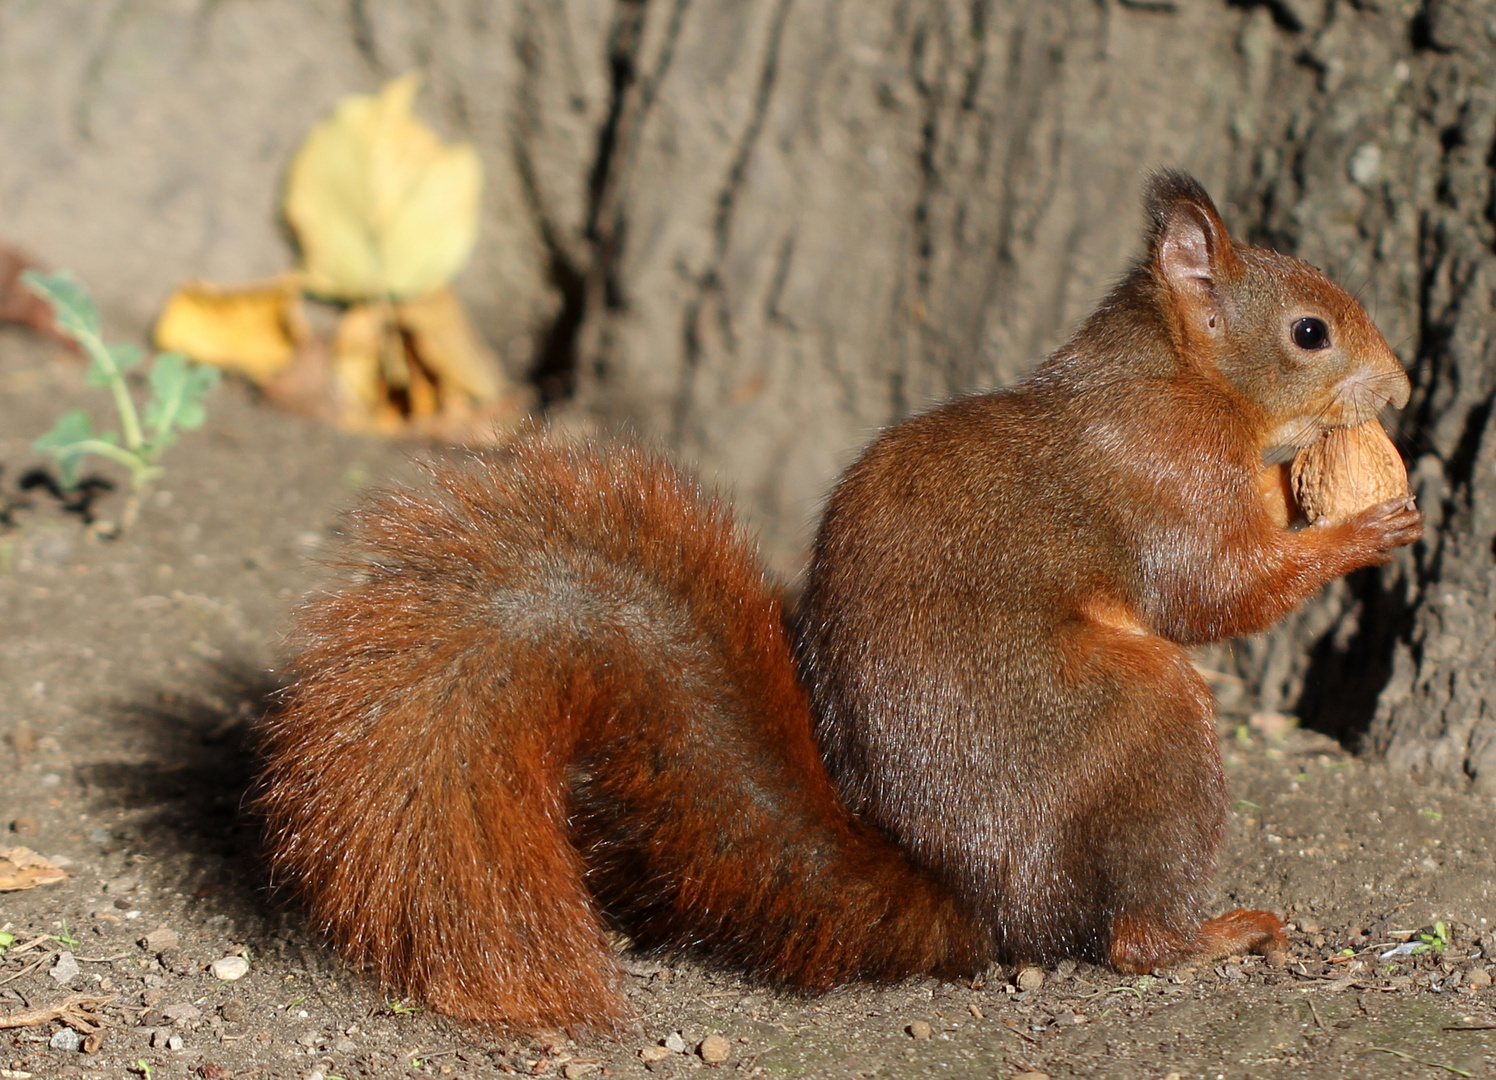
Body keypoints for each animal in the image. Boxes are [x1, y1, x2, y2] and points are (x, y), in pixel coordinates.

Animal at [260, 170, 1424, 1029]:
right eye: (1310, 333)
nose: (1405, 389)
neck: (1181, 380)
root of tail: (978, 899)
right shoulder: (1166, 481)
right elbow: (1215, 593)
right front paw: (1365, 527)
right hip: (1143, 721)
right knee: (1127, 936)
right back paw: (1207, 936)